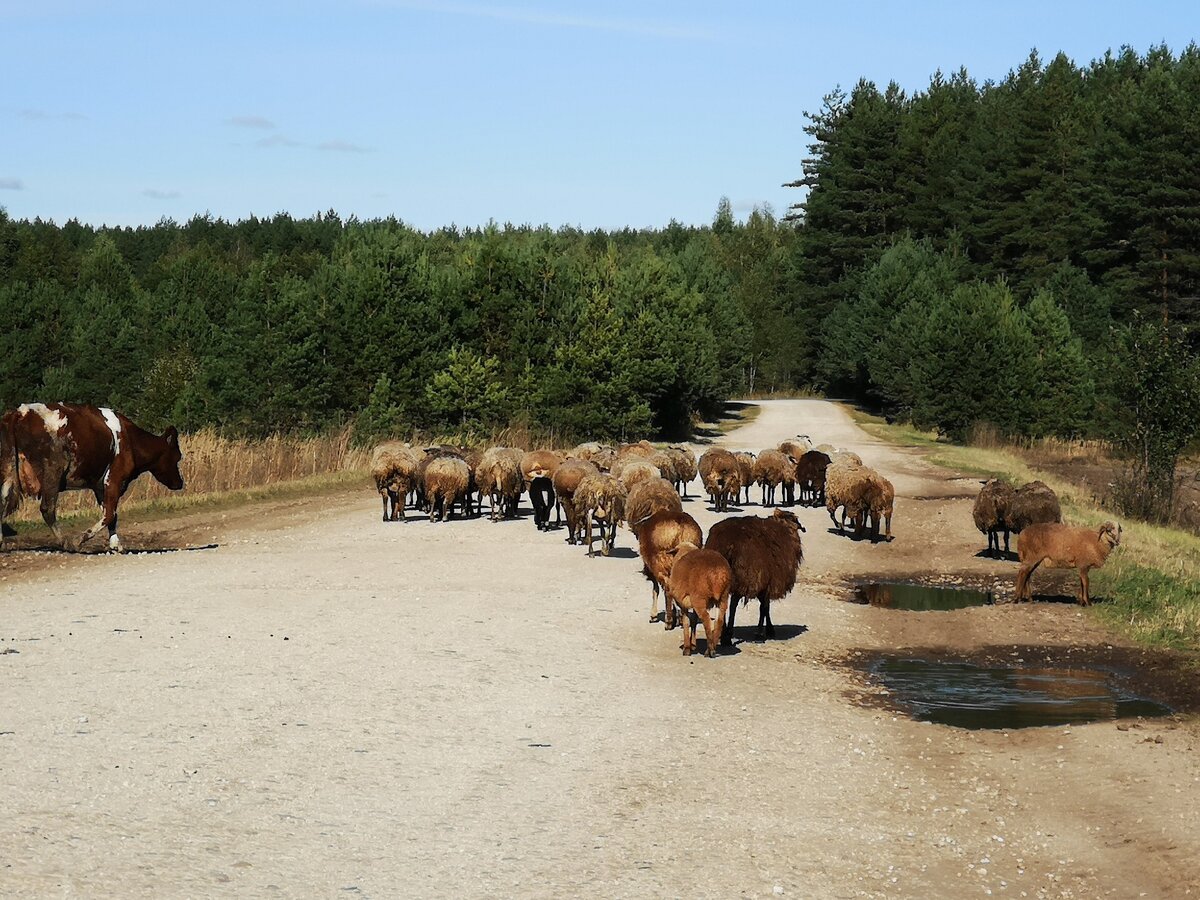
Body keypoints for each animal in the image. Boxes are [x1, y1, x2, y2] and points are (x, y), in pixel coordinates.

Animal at [1, 405, 183, 554]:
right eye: (177, 457)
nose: (180, 483)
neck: (131, 440)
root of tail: (20, 412)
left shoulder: (99, 485)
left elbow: (111, 515)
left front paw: (116, 545)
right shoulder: (114, 479)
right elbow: (109, 514)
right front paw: (79, 540)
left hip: (8, 471)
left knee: (3, 502)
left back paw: (2, 543)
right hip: (52, 472)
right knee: (47, 509)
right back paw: (66, 542)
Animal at [700, 508, 806, 648]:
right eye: (794, 519)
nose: (801, 527)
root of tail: (725, 544)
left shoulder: (763, 582)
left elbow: (765, 606)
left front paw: (768, 629)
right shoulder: (766, 581)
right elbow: (764, 607)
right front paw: (762, 632)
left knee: (723, 602)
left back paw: (723, 633)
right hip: (743, 576)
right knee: (733, 603)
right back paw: (727, 636)